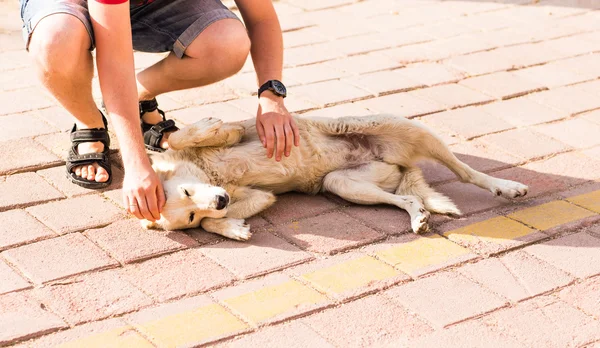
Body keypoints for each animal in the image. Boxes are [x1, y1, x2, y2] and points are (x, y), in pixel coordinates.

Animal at [143, 115, 528, 241]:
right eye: (191, 217)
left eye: (187, 192)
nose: (221, 201)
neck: (211, 174)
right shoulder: (259, 196)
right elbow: (216, 222)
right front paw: (232, 227)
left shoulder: (243, 132)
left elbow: (184, 136)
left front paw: (204, 129)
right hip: (342, 183)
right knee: (409, 197)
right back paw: (418, 217)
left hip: (407, 130)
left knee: (466, 171)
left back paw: (506, 186)